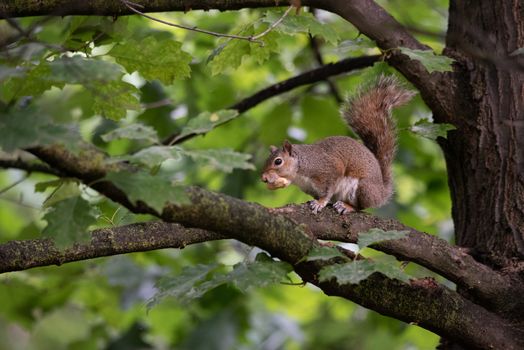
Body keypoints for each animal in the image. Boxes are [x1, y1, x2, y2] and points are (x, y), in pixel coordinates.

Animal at [260, 75, 416, 213]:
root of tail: (382, 192)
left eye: (278, 161)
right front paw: (317, 201)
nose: (264, 178)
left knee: (361, 207)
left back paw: (347, 206)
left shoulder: (329, 170)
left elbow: (328, 191)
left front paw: (320, 203)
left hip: (364, 188)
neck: (301, 169)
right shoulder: (310, 188)